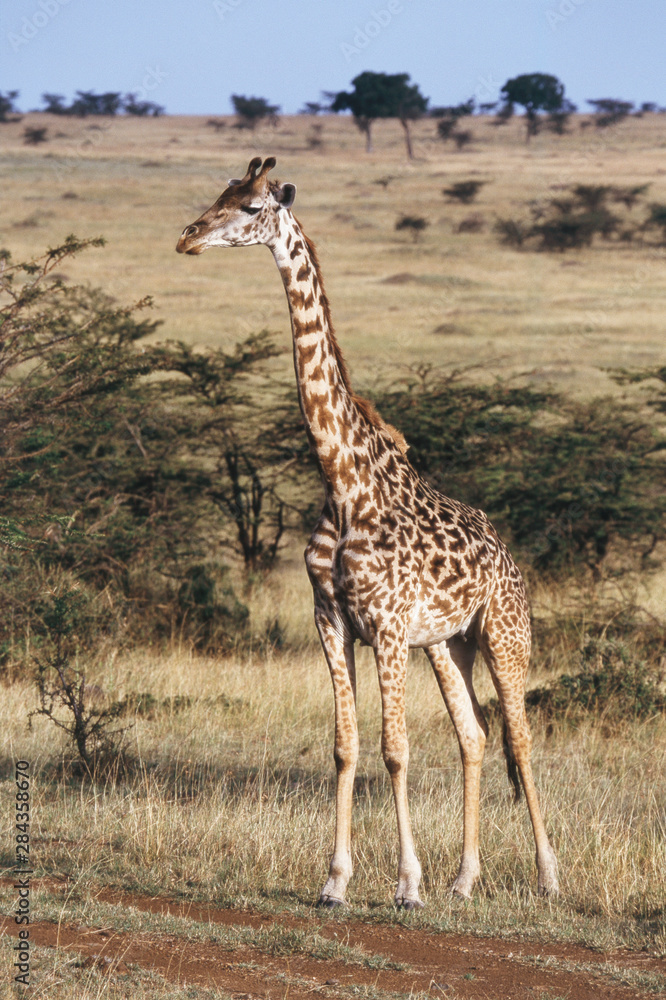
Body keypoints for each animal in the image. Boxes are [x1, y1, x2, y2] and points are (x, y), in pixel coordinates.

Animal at [176, 156, 559, 908]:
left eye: (253, 205)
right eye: (218, 194)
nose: (188, 236)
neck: (341, 478)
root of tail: (507, 554)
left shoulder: (384, 625)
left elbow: (395, 749)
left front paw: (407, 884)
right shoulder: (331, 619)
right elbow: (345, 746)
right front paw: (335, 880)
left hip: (504, 632)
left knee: (521, 738)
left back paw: (548, 876)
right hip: (447, 644)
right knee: (475, 735)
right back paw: (465, 879)